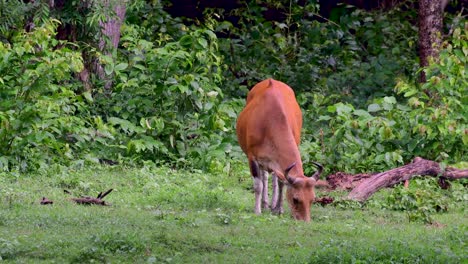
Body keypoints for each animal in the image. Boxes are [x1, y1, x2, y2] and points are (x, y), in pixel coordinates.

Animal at [238, 78, 322, 221]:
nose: (305, 221)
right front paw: (257, 210)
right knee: (264, 177)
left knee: (273, 178)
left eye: (312, 199)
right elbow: (258, 185)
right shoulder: (252, 157)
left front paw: (279, 209)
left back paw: (271, 204)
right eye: (295, 199)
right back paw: (264, 204)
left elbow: (282, 183)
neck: (270, 121)